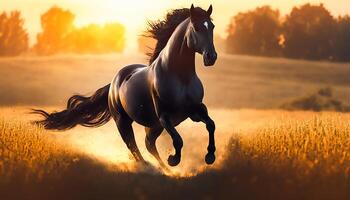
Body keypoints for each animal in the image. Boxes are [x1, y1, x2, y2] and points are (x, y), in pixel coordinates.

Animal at [34, 3, 217, 168]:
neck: (180, 77)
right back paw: (150, 167)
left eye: (212, 26)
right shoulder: (164, 116)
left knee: (149, 144)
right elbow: (178, 140)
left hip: (153, 126)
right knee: (133, 146)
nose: (211, 57)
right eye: (196, 27)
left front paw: (210, 156)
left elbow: (210, 124)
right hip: (123, 121)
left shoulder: (195, 110)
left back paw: (164, 170)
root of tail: (113, 83)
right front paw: (173, 159)